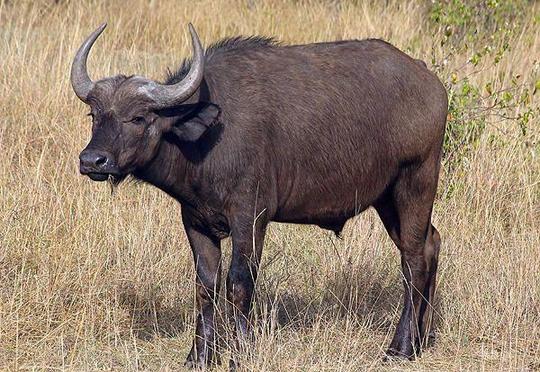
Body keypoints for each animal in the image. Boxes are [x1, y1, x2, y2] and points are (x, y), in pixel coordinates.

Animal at [70, 24, 448, 370]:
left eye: (138, 117)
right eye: (95, 115)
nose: (92, 160)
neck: (207, 140)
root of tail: (430, 82)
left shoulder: (249, 218)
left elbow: (239, 283)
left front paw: (240, 354)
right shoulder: (195, 221)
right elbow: (206, 286)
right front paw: (199, 357)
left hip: (415, 182)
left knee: (413, 260)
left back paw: (400, 348)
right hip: (387, 199)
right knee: (431, 243)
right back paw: (422, 338)